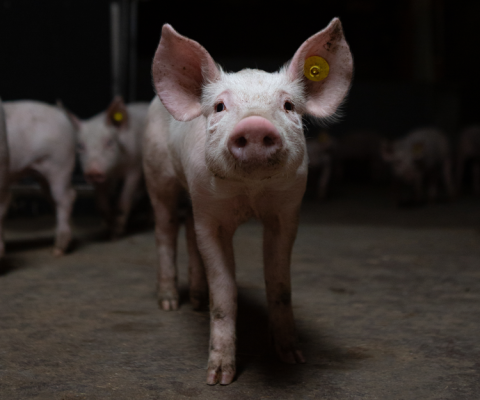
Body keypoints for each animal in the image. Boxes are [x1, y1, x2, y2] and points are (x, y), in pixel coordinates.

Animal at [0, 100, 77, 256]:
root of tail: (61, 112)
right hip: (44, 176)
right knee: (55, 199)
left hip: (60, 164)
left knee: (66, 197)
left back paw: (58, 250)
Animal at [64, 97, 149, 238]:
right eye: (80, 146)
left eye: (109, 142)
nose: (93, 171)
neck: (116, 169)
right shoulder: (102, 178)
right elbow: (101, 204)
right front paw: (108, 227)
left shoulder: (135, 167)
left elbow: (124, 199)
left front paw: (116, 234)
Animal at [142, 18, 352, 384]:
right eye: (220, 107)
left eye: (288, 106)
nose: (254, 125)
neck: (250, 195)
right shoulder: (211, 215)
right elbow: (225, 295)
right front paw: (218, 379)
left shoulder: (286, 211)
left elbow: (280, 286)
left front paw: (293, 358)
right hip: (158, 176)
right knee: (165, 230)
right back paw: (169, 304)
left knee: (187, 229)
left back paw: (197, 301)